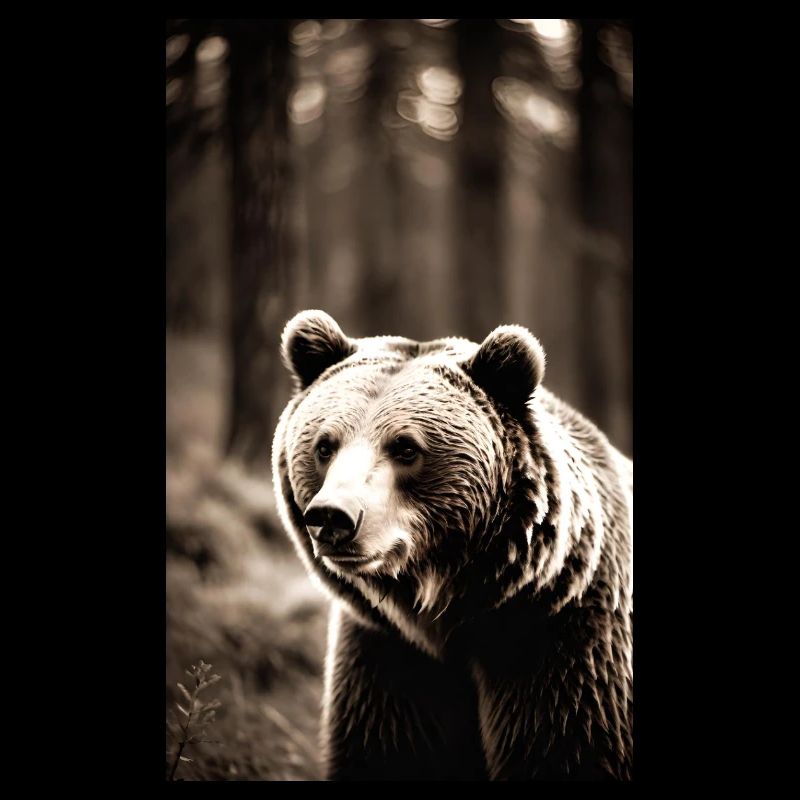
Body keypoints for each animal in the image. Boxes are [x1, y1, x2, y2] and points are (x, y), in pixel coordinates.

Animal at [272, 309, 633, 781]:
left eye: (406, 447)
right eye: (324, 445)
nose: (334, 516)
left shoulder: (564, 647)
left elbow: (568, 747)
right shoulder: (389, 655)